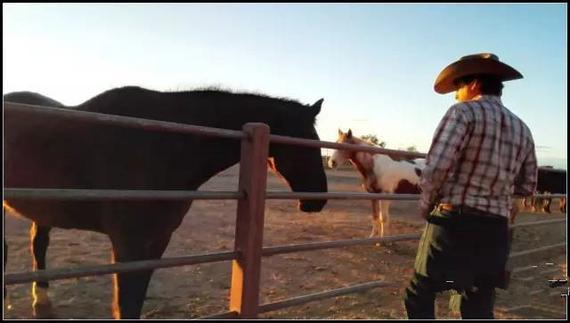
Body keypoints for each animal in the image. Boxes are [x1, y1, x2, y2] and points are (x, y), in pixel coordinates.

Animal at [4, 86, 326, 322]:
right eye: (305, 143)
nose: (319, 199)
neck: (163, 144)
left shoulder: (158, 240)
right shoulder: (128, 242)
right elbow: (126, 302)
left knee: (38, 242)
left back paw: (41, 298)